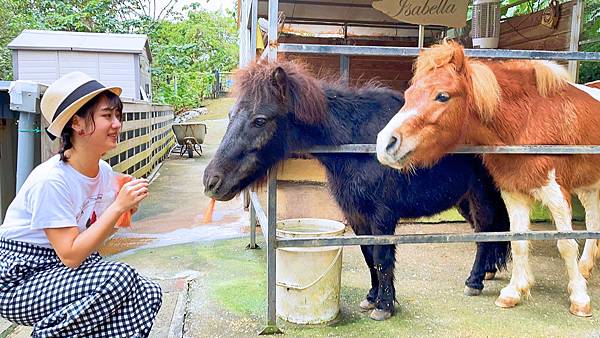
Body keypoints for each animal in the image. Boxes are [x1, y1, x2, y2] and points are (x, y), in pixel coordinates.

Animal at [203, 59, 510, 320]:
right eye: (231, 114)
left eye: (260, 120)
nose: (211, 181)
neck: (359, 144)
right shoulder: (356, 215)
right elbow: (368, 254)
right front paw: (372, 297)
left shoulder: (382, 216)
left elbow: (382, 257)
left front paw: (384, 306)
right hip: (464, 200)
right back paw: (488, 272)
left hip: (481, 196)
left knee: (484, 233)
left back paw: (474, 281)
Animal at [376, 40, 600, 316]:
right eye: (408, 95)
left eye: (442, 96)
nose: (385, 144)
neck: (528, 121)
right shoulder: (514, 193)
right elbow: (518, 242)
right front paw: (513, 293)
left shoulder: (557, 194)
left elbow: (566, 245)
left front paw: (579, 298)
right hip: (589, 187)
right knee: (593, 220)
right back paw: (585, 268)